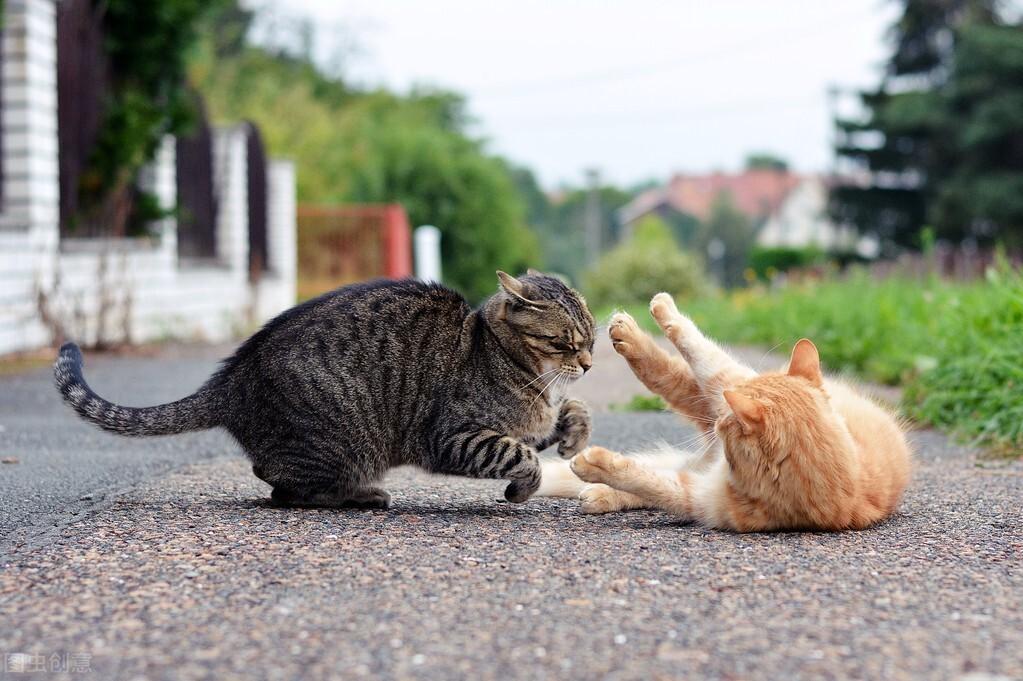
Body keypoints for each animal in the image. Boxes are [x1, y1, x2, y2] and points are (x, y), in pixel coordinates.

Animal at [56, 269, 597, 503]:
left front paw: (574, 435)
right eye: (565, 342)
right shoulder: (455, 436)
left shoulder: (531, 419)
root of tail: (232, 376)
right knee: (280, 484)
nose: (590, 364)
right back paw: (361, 496)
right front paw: (523, 488)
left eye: (591, 340)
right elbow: (521, 456)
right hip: (341, 440)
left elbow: (568, 416)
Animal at [536, 292, 912, 531]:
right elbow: (697, 349)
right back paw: (633, 332)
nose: (718, 421)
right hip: (722, 385)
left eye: (729, 424)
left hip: (715, 403)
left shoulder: (697, 497)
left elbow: (648, 481)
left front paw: (597, 464)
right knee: (675, 371)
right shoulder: (725, 385)